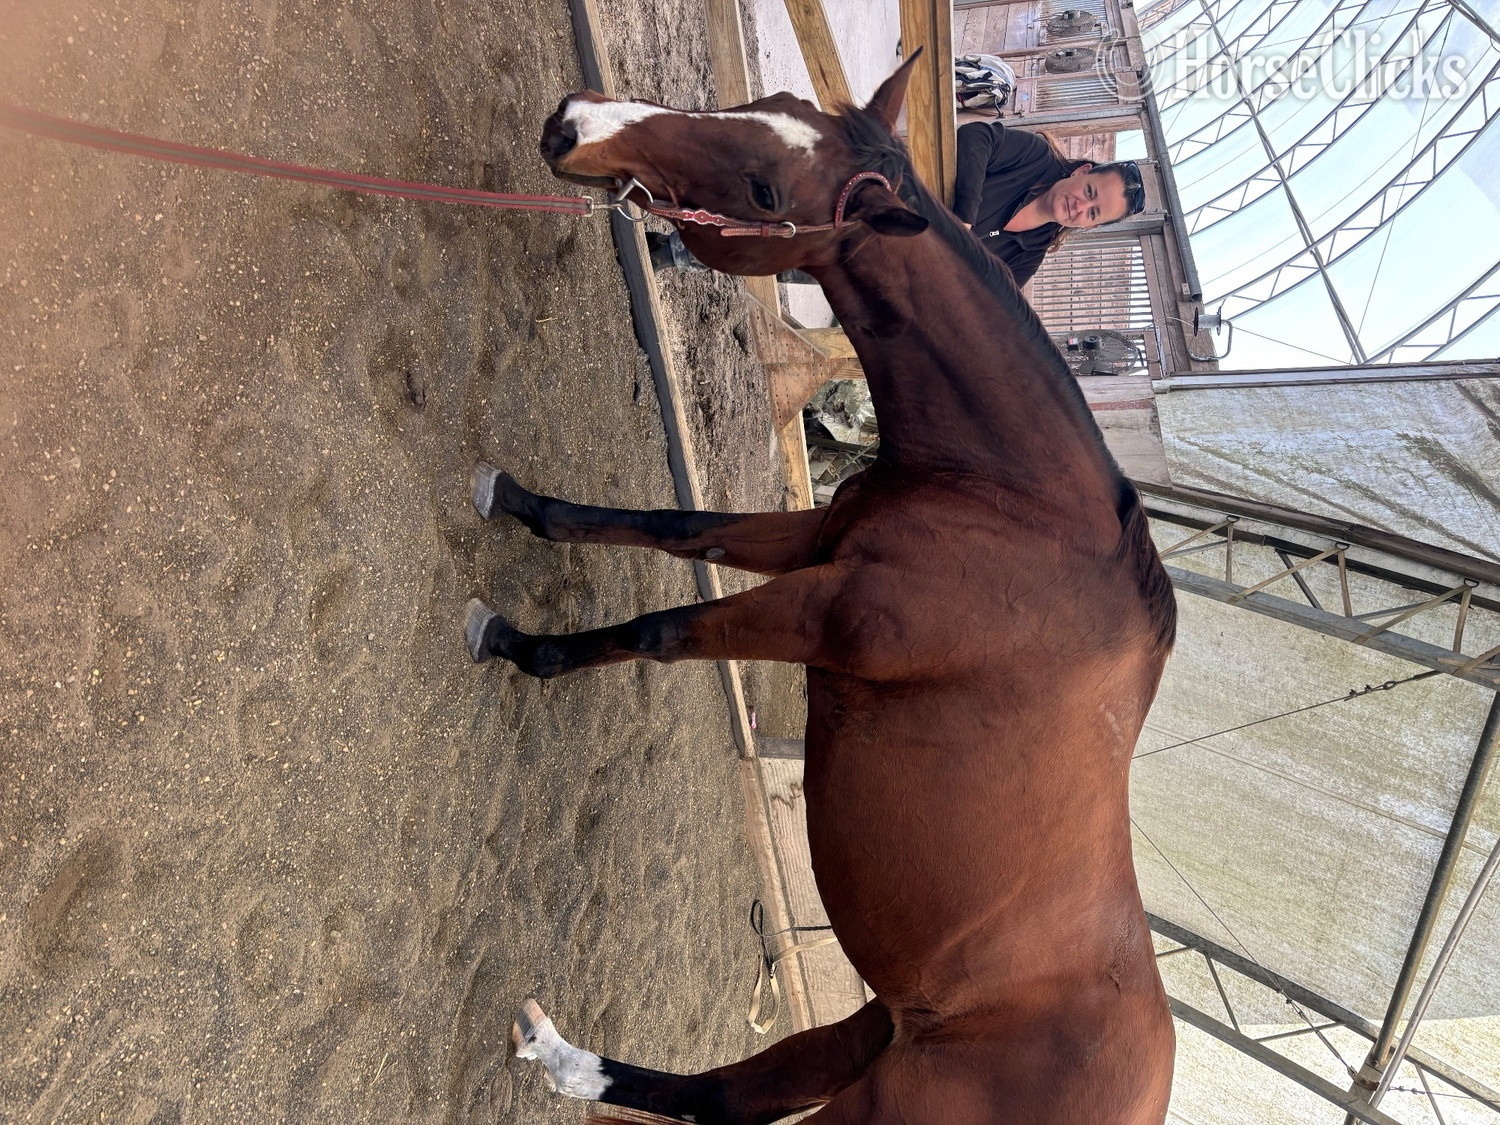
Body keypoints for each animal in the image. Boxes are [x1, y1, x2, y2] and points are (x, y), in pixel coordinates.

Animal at [466, 55, 1178, 1124]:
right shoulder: (811, 539)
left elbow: (663, 628)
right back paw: (557, 1055)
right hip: (864, 1032)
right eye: (775, 105)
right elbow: (673, 526)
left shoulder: (825, 612)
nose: (576, 124)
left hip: (874, 1100)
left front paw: (517, 644)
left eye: (770, 193)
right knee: (723, 1093)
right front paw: (515, 500)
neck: (1019, 513)